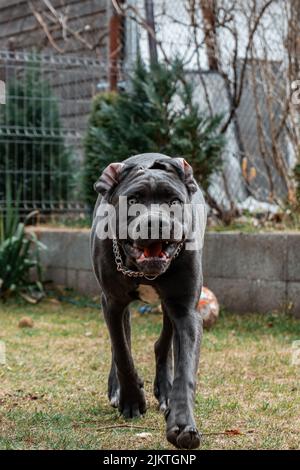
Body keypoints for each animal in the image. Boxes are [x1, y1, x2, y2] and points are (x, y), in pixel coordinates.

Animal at [89, 152, 206, 450]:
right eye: (132, 201)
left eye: (174, 202)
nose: (156, 223)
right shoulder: (112, 302)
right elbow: (122, 351)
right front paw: (130, 399)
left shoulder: (186, 310)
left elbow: (186, 368)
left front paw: (182, 424)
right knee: (122, 339)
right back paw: (116, 388)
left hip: (169, 306)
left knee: (163, 342)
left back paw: (164, 389)